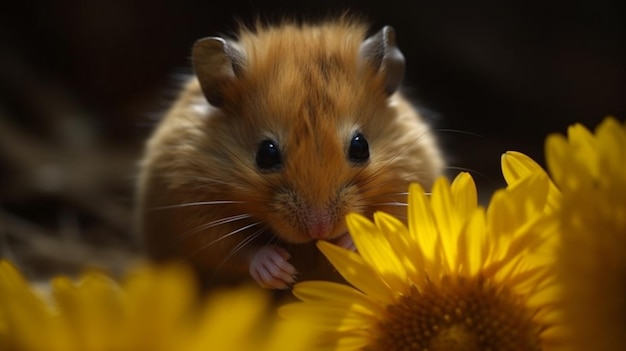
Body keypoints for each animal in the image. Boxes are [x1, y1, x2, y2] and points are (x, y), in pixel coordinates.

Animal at [136, 17, 442, 290]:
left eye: (360, 146)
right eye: (266, 154)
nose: (319, 231)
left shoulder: (406, 186)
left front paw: (345, 246)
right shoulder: (193, 211)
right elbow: (235, 249)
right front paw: (283, 273)